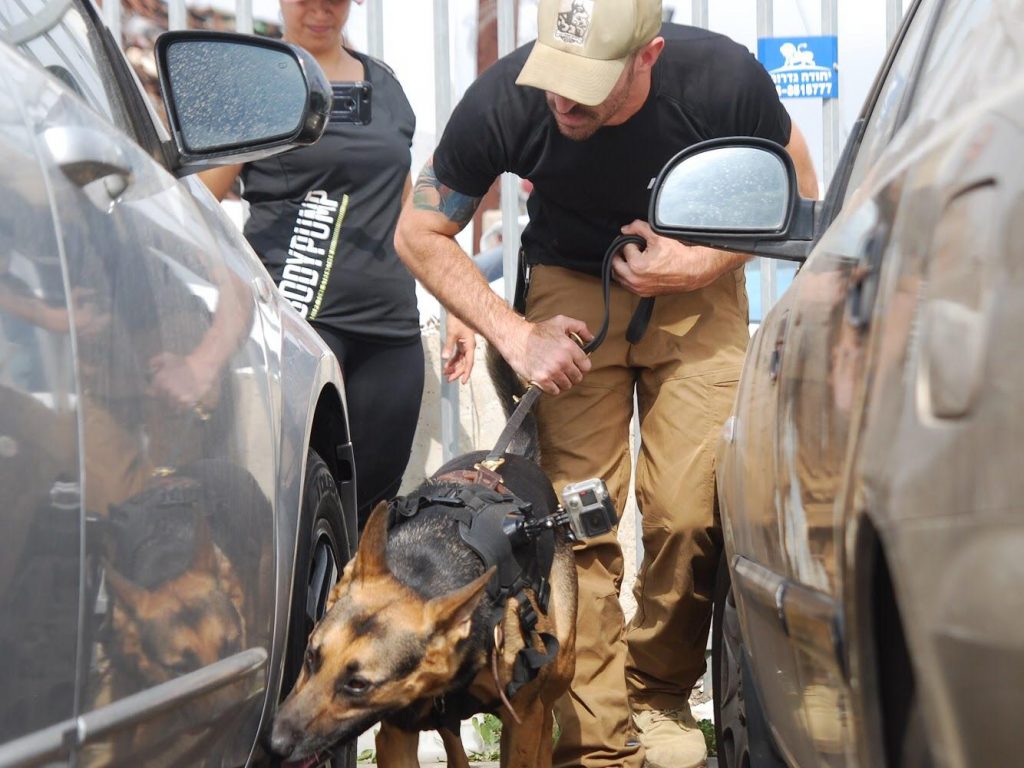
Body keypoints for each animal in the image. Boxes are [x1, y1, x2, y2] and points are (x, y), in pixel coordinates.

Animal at [270, 350, 577, 768]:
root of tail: (517, 456)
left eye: (358, 684)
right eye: (311, 656)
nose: (274, 744)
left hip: (558, 672)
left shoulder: (522, 723)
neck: (427, 569)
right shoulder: (397, 735)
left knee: (546, 720)